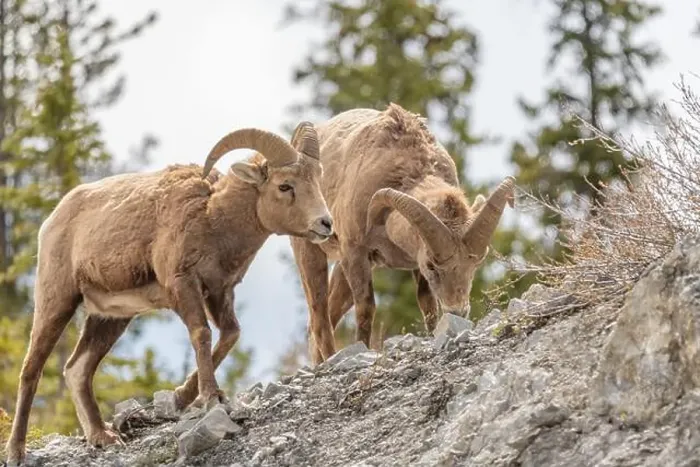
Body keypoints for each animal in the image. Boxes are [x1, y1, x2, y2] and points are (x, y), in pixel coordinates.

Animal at [4, 123, 333, 465]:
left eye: (316, 179)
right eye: (285, 186)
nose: (325, 224)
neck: (213, 218)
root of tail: (52, 219)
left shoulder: (220, 292)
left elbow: (230, 335)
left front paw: (181, 397)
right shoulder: (183, 286)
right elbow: (202, 334)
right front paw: (210, 397)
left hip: (110, 318)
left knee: (77, 369)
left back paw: (103, 437)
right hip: (57, 302)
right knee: (31, 370)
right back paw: (16, 452)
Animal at [289, 103, 515, 364]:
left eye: (476, 264)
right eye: (432, 266)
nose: (458, 311)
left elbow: (428, 307)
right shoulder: (355, 253)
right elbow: (366, 309)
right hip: (310, 253)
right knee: (319, 316)